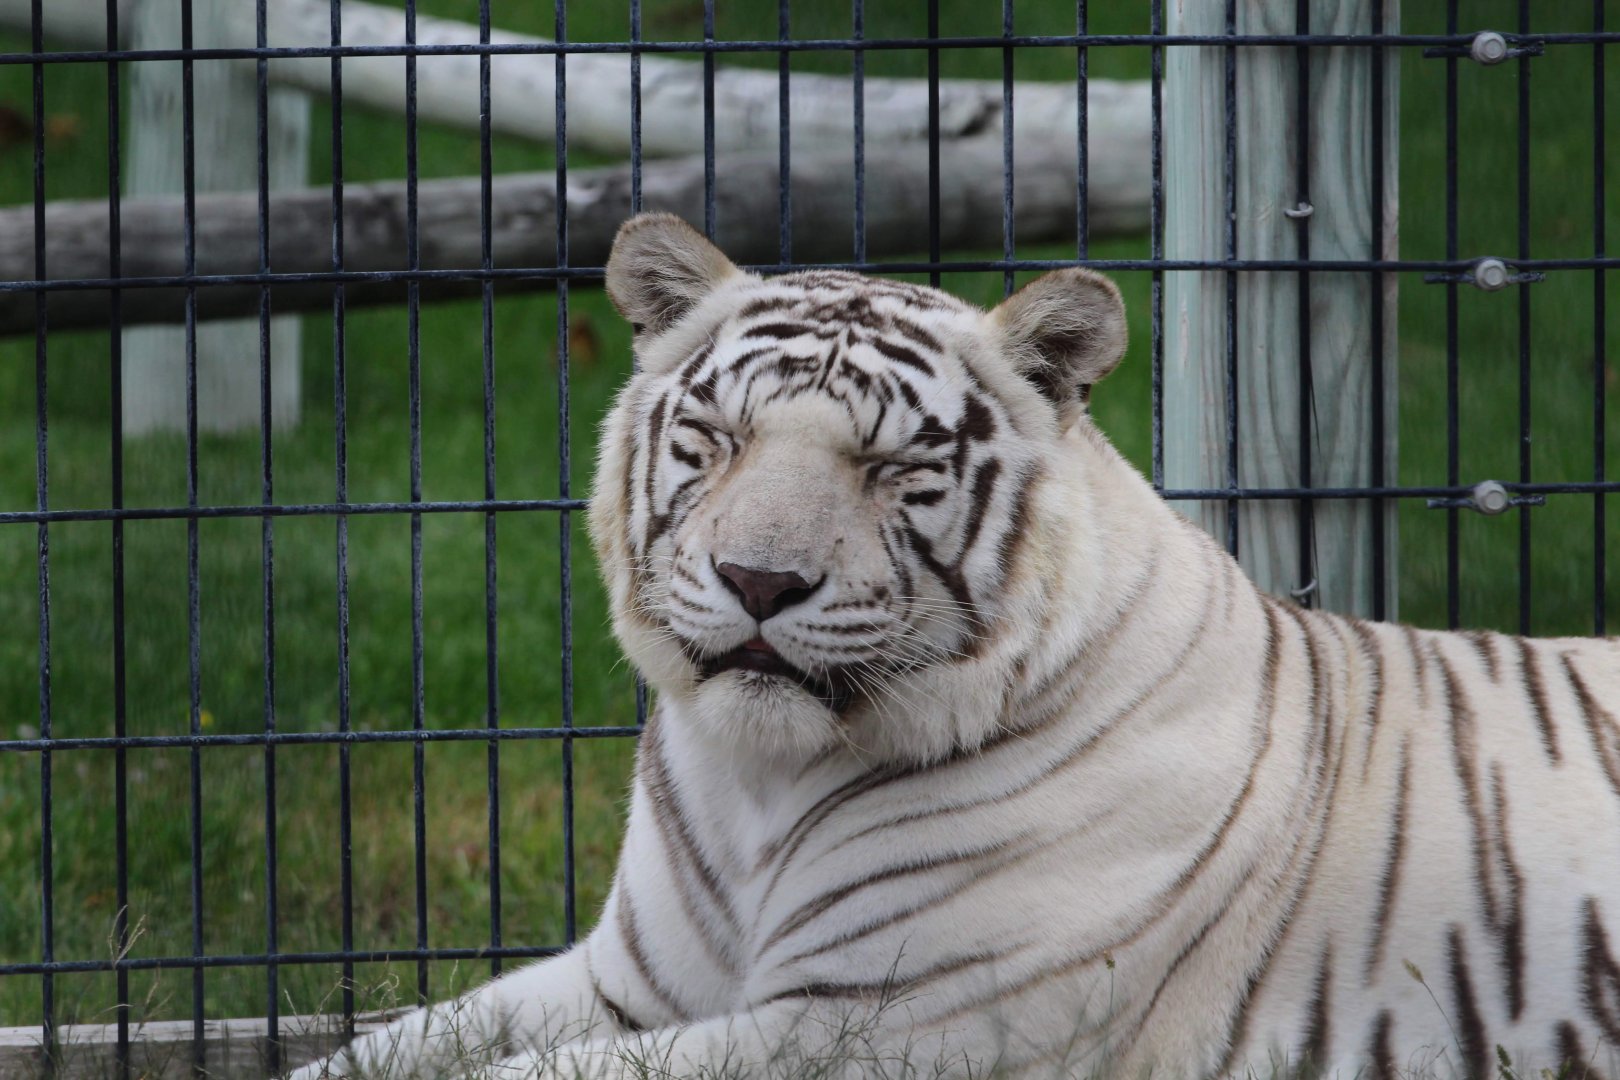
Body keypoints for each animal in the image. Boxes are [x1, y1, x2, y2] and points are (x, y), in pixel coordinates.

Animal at [291, 212, 1620, 1080]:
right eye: (718, 438)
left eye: (893, 467)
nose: (760, 580)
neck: (753, 781)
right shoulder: (624, 983)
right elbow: (391, 1047)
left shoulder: (873, 1026)